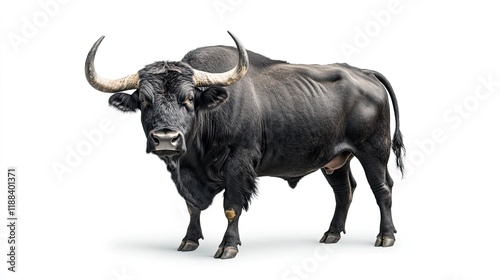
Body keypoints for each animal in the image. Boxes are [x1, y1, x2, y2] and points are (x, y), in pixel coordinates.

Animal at [85, 31, 402, 260]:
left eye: (189, 98)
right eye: (144, 100)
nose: (165, 138)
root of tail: (365, 73)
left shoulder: (239, 165)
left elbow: (231, 207)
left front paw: (228, 246)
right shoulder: (186, 173)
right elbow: (192, 207)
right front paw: (188, 240)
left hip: (374, 152)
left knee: (382, 189)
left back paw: (385, 237)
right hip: (335, 160)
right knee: (344, 191)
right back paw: (332, 234)